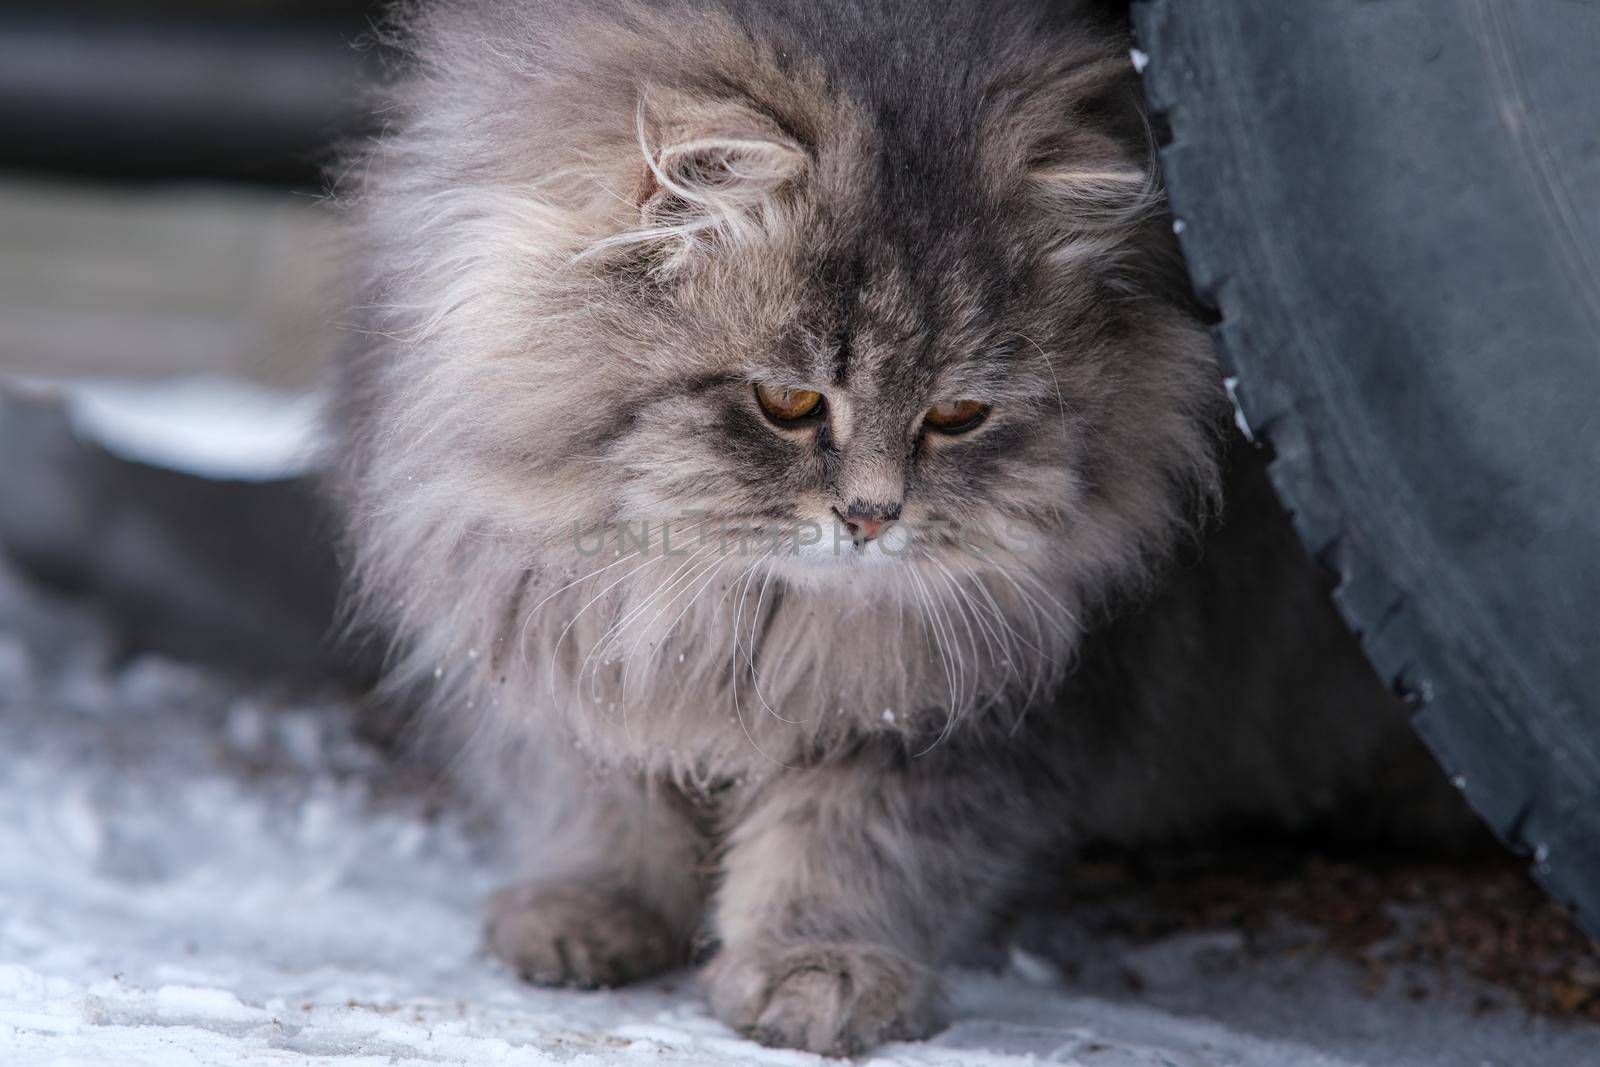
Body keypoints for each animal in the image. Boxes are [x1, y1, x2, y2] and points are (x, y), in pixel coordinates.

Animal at [337, 0, 1472, 1049]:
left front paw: (817, 972)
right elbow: (594, 796)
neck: (735, 624)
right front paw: (587, 918)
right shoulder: (545, 626)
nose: (871, 515)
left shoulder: (972, 705)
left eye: (956, 416)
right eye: (789, 404)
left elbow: (849, 846)